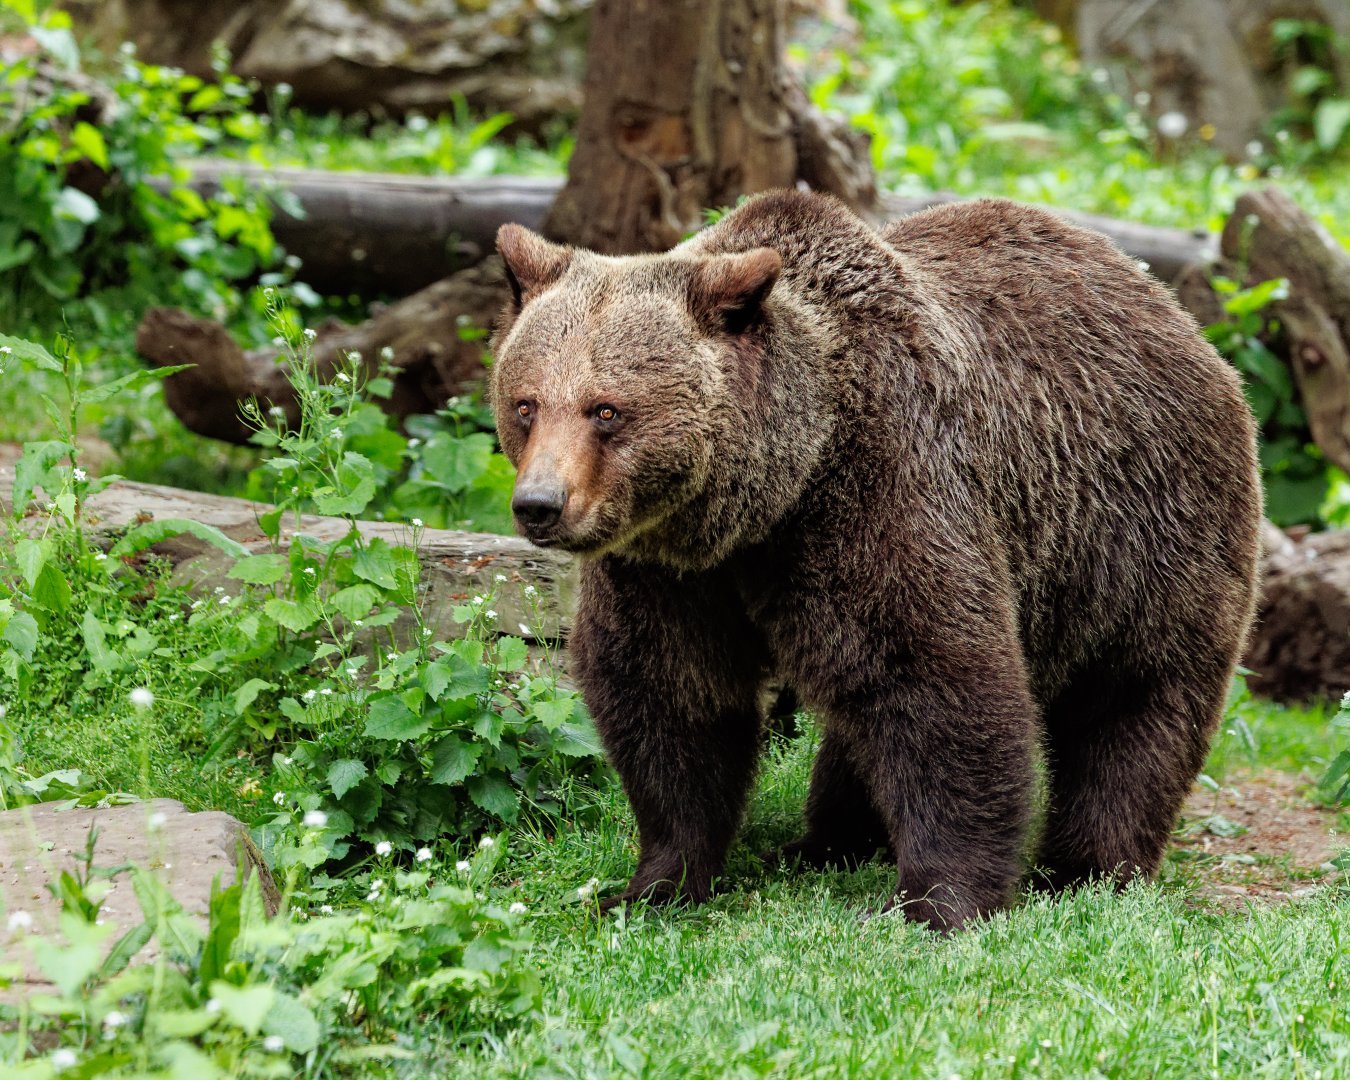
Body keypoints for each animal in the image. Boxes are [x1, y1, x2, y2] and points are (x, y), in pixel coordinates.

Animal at [489, 190, 1262, 931]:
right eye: (527, 403)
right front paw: (652, 884)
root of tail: (1173, 311)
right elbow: (671, 697)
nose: (540, 504)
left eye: (606, 409)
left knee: (1135, 701)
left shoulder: (885, 488)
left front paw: (936, 900)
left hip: (1143, 533)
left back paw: (1089, 869)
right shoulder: (670, 572)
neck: (771, 498)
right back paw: (824, 843)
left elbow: (938, 681)